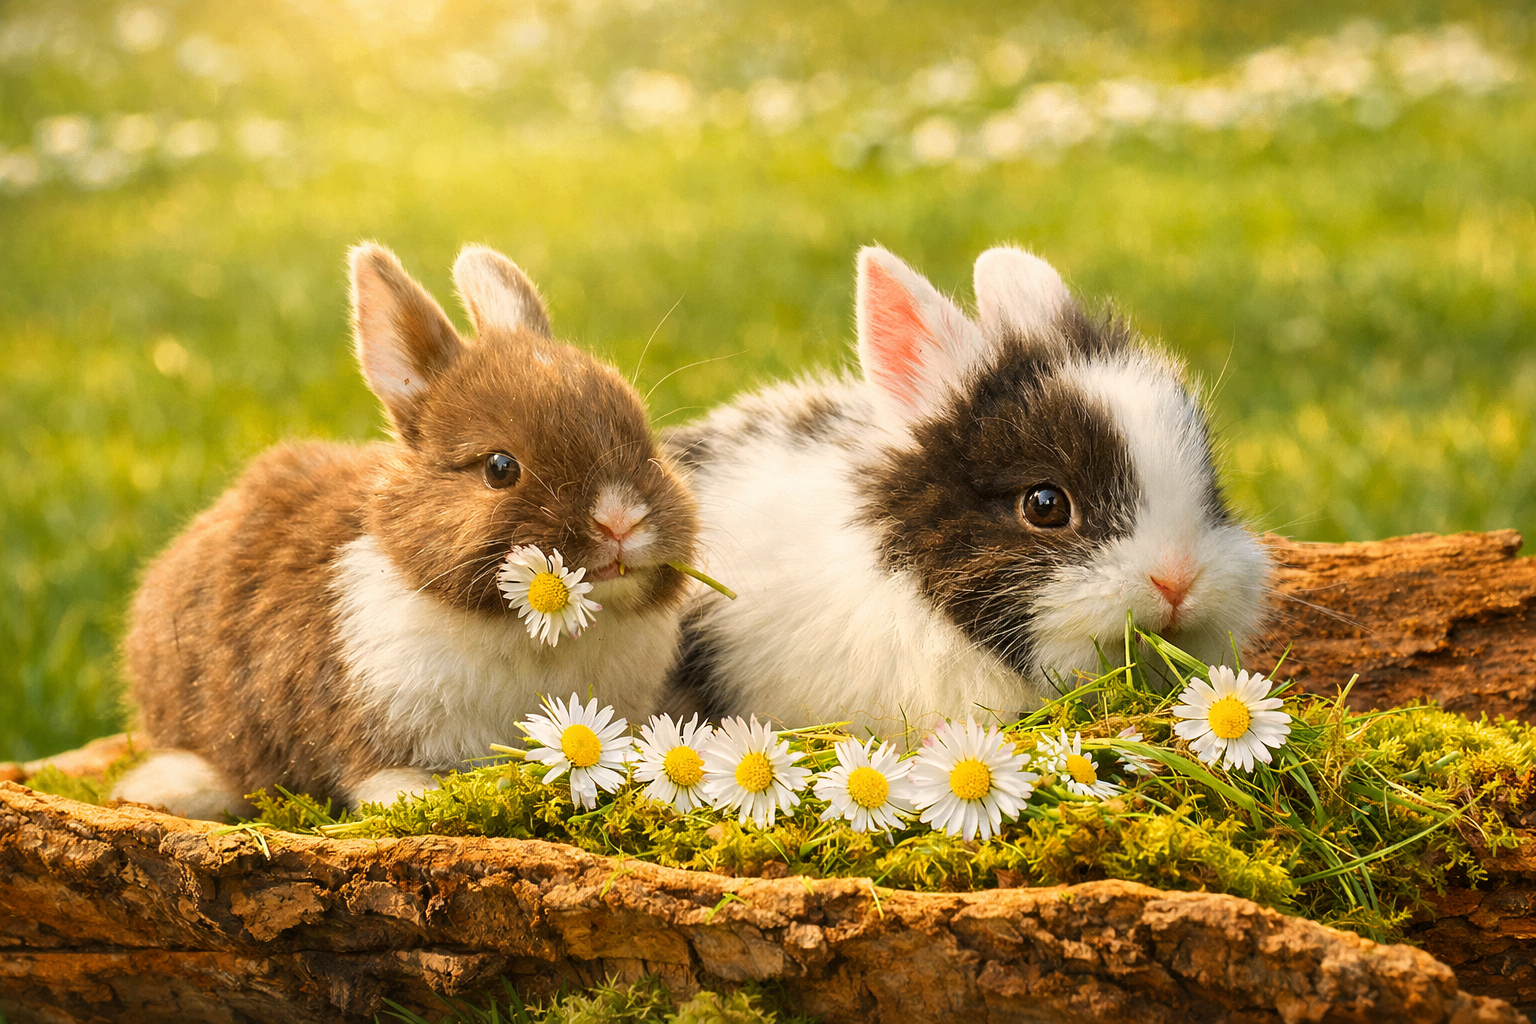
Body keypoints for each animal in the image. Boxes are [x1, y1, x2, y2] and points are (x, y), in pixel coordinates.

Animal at [112, 242, 698, 820]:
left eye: (646, 436)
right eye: (500, 468)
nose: (620, 520)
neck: (539, 637)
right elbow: (378, 776)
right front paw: (421, 797)